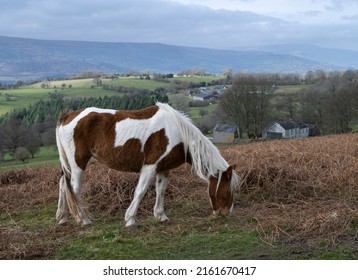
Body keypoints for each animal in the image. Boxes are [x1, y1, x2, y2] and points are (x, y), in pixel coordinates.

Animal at [56, 101, 239, 229]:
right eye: (227, 190)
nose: (226, 212)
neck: (178, 133)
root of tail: (68, 117)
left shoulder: (164, 169)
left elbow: (161, 190)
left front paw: (161, 216)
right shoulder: (150, 167)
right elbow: (140, 191)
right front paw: (130, 220)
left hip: (69, 166)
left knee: (63, 185)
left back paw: (62, 218)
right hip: (78, 164)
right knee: (74, 189)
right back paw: (84, 220)